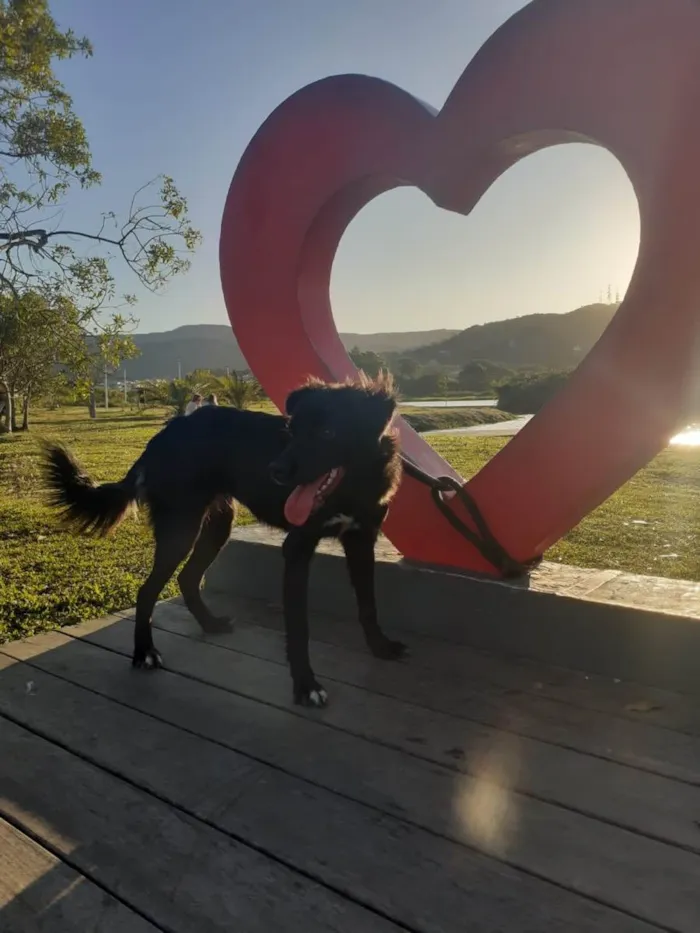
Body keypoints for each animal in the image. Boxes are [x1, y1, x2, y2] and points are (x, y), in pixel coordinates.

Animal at [42, 374, 404, 704]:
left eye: (328, 433)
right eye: (291, 432)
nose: (275, 471)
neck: (351, 489)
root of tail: (164, 434)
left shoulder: (362, 541)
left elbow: (368, 604)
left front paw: (380, 646)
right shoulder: (297, 548)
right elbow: (299, 626)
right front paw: (306, 686)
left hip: (218, 526)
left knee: (188, 578)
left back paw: (210, 623)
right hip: (181, 527)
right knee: (148, 591)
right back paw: (144, 652)